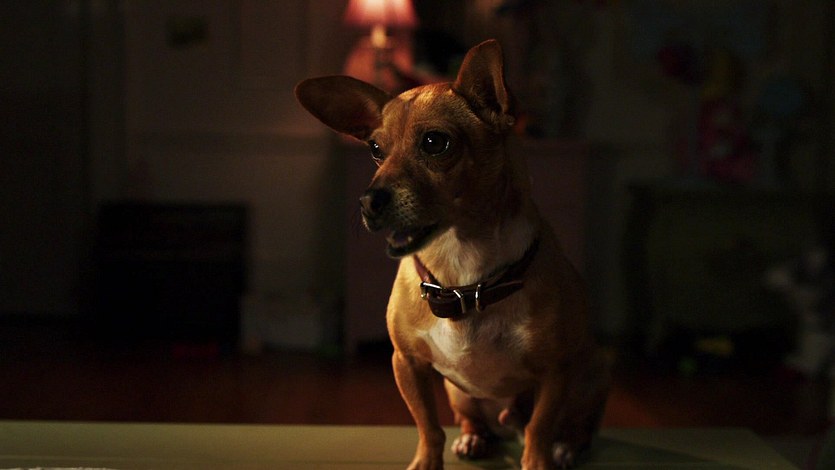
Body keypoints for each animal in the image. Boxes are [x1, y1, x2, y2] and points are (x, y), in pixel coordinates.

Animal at [295, 39, 609, 470]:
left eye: (435, 143)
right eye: (375, 149)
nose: (367, 201)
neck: (464, 273)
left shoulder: (556, 373)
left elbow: (539, 430)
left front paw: (539, 460)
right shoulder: (407, 364)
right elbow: (428, 427)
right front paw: (427, 462)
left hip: (590, 376)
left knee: (572, 425)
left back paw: (565, 446)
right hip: (458, 392)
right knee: (470, 419)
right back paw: (474, 438)